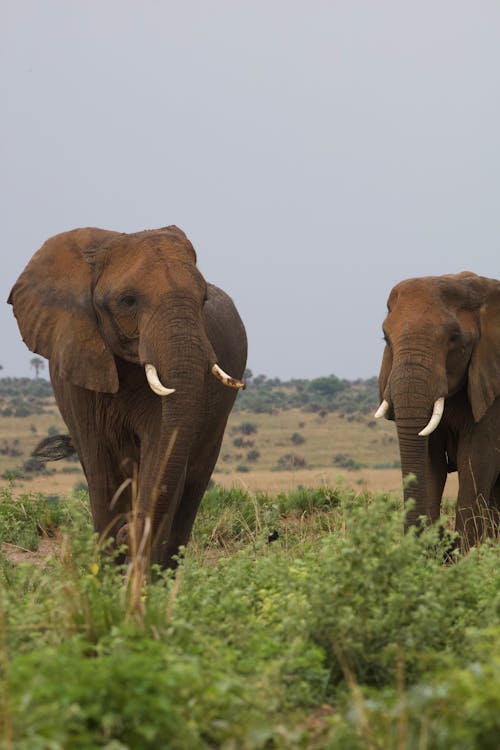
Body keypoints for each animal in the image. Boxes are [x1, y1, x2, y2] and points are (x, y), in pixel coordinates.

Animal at [8, 226, 247, 568]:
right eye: (127, 301)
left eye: (202, 300)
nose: (126, 531)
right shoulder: (78, 376)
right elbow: (101, 467)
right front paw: (110, 569)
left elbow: (161, 457)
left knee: (193, 483)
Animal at [376, 274, 500, 548]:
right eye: (385, 338)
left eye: (454, 337)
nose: (442, 539)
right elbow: (429, 461)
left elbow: (474, 459)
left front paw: (467, 554)